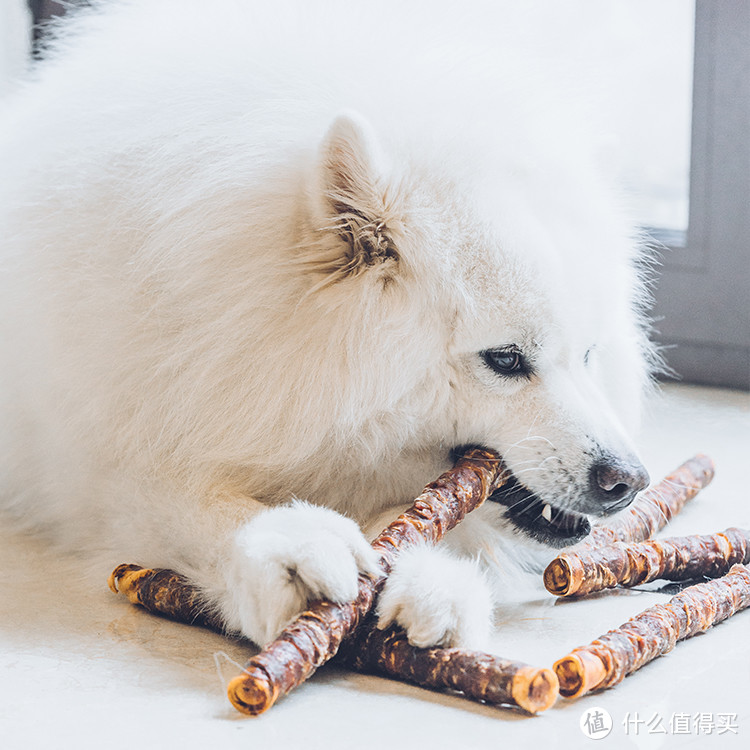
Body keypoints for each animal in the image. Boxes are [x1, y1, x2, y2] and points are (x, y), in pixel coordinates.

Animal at [0, 1, 652, 652]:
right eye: (506, 359)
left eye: (589, 354)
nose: (630, 479)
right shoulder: (107, 462)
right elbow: (184, 499)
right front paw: (290, 550)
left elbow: (418, 522)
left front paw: (428, 581)